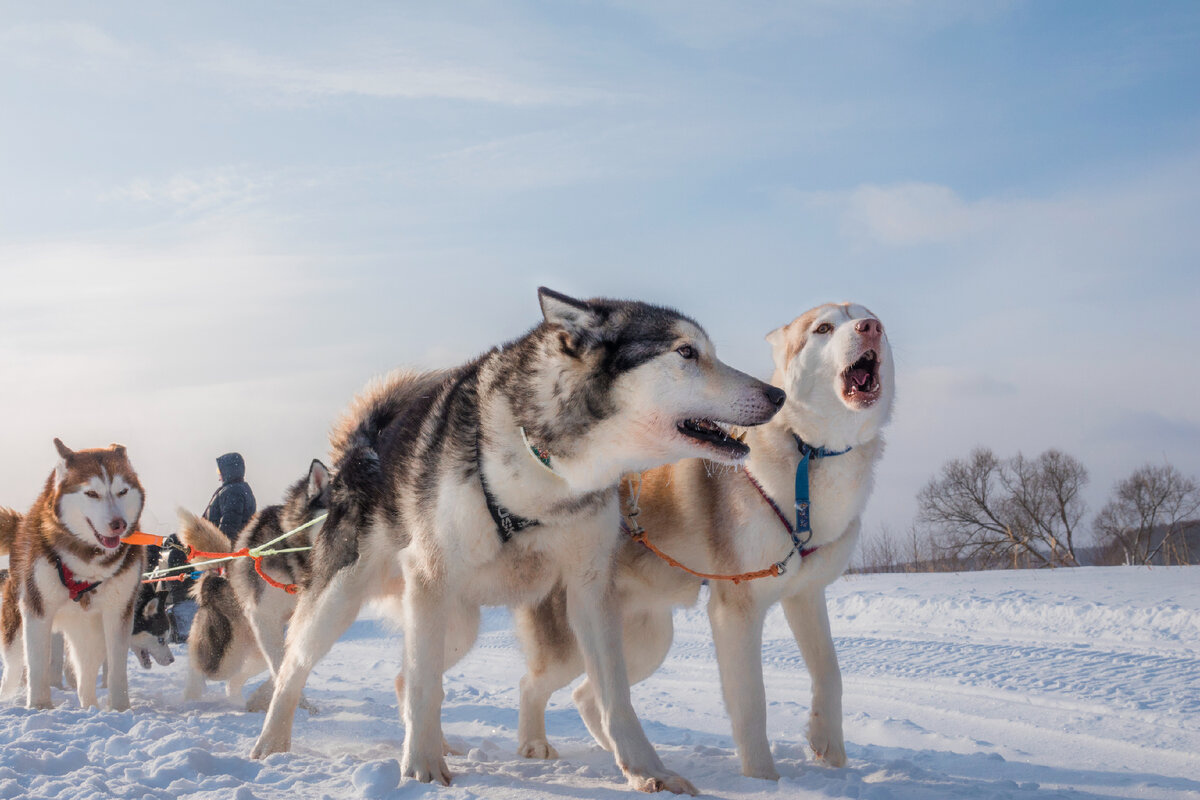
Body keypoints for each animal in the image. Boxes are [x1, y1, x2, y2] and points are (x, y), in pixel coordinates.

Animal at [0, 441, 145, 710]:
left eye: (122, 491)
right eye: (92, 494)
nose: (119, 524)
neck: (88, 562)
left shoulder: (119, 611)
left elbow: (117, 668)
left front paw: (120, 709)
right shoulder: (37, 611)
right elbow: (37, 666)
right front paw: (40, 707)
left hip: (91, 633)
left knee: (85, 676)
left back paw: (90, 707)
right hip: (15, 632)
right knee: (13, 670)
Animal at [177, 460, 331, 710]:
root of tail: (218, 572)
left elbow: (289, 665)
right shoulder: (263, 615)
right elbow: (280, 665)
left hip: (255, 649)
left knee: (234, 679)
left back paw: (242, 701)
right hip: (227, 653)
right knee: (200, 664)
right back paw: (191, 696)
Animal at [248, 287, 782, 796]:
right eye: (686, 351)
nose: (776, 393)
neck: (548, 469)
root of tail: (361, 450)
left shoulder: (590, 590)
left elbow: (616, 695)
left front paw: (647, 771)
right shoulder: (431, 572)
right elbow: (425, 687)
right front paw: (420, 768)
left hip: (455, 624)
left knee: (405, 676)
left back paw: (440, 741)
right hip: (345, 601)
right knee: (298, 668)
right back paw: (272, 744)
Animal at [511, 303, 897, 777]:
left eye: (870, 317)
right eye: (823, 327)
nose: (870, 328)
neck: (808, 453)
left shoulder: (805, 595)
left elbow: (830, 672)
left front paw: (830, 749)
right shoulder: (736, 610)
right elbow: (751, 702)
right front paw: (764, 779)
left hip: (644, 640)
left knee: (588, 694)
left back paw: (622, 756)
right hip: (573, 641)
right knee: (532, 682)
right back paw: (534, 745)